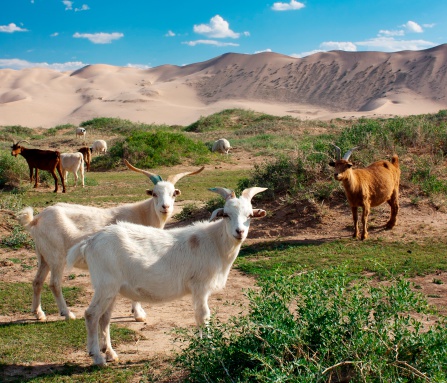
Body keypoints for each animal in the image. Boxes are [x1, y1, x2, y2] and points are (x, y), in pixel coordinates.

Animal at [16, 160, 205, 322]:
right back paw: (67, 313)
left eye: (173, 194)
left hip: (43, 256)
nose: (165, 207)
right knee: (54, 283)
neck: (142, 214)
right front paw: (138, 314)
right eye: (154, 194)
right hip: (57, 257)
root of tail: (36, 219)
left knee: (37, 281)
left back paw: (38, 313)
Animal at [68, 188, 268, 368]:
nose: (239, 232)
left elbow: (199, 317)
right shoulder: (200, 286)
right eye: (226, 214)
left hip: (112, 289)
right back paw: (97, 357)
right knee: (91, 314)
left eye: (250, 215)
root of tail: (90, 242)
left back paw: (110, 354)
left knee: (104, 318)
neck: (215, 243)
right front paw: (210, 349)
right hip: (105, 285)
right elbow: (203, 316)